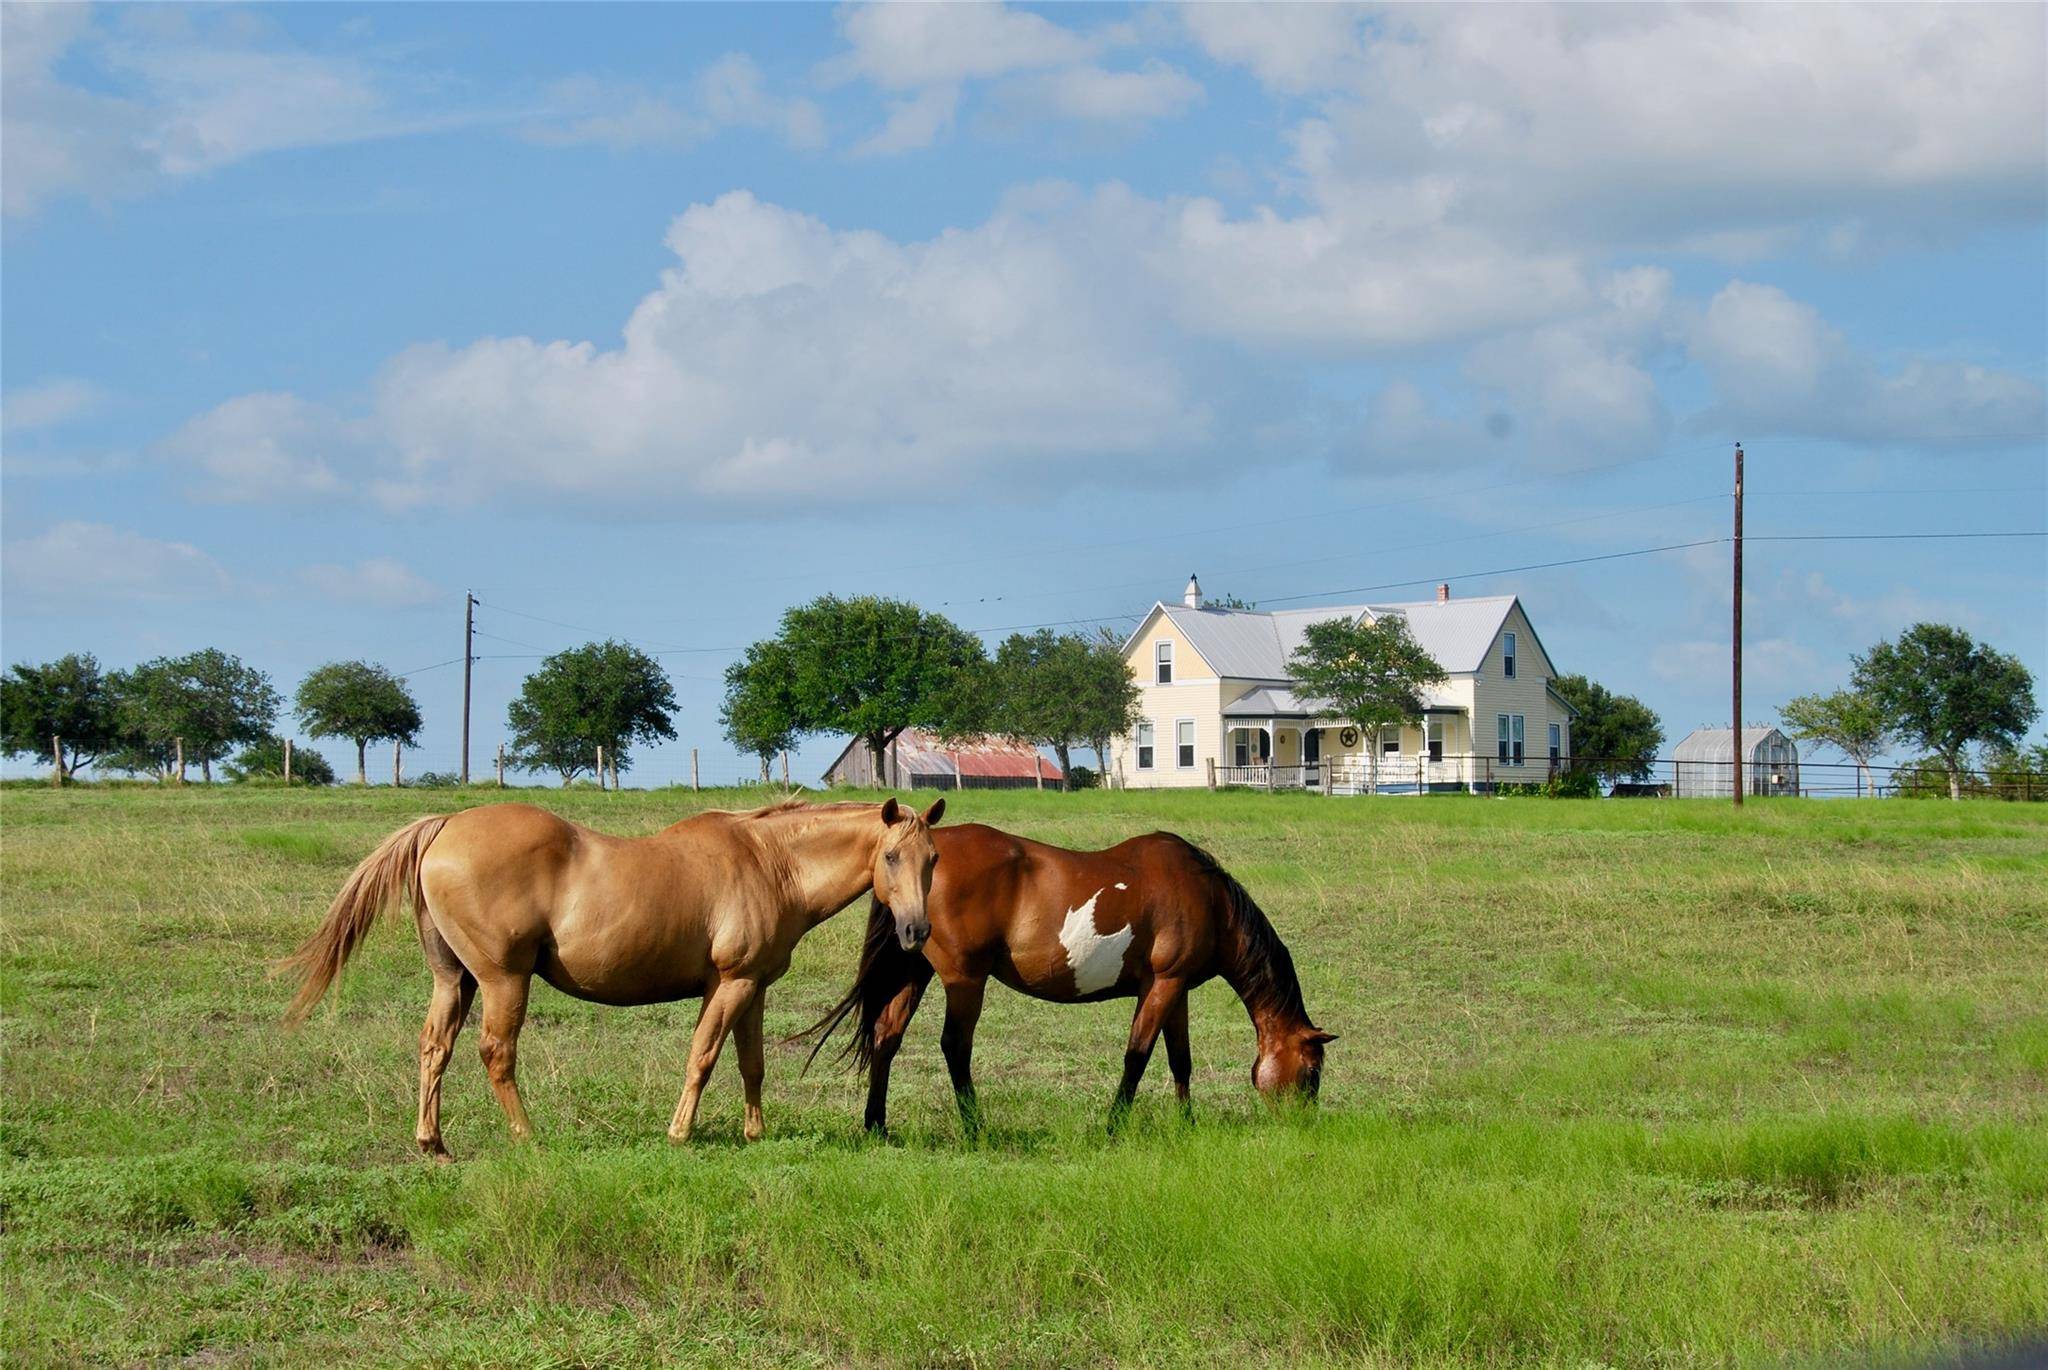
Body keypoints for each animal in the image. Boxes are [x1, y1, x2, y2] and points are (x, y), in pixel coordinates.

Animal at [284, 790, 946, 1154]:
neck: (769, 862)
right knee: (496, 1053)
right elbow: (703, 1057)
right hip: (502, 981)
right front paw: (679, 1133)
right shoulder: (729, 983)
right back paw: (528, 1137)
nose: (917, 933)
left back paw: (433, 1143)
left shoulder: (750, 987)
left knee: (434, 1048)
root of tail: (445, 826)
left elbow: (750, 1064)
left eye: (934, 858)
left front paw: (755, 1134)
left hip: (455, 980)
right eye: (891, 856)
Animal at [806, 823, 1335, 1130]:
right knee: (955, 1048)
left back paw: (876, 1124)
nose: (1302, 1125)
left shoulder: (1175, 988)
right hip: (965, 979)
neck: (1207, 897)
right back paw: (976, 1128)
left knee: (886, 1037)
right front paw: (1113, 1126)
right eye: (1312, 1074)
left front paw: (1187, 1124)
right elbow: (1137, 1056)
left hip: (914, 970)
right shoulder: (1163, 986)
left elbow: (1179, 1060)